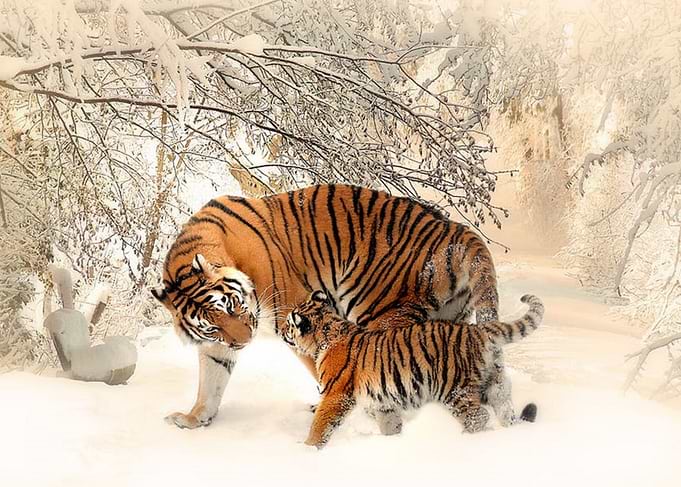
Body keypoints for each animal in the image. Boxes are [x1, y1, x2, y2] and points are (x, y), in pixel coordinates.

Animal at [151, 184, 500, 431]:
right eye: (212, 326)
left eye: (234, 306)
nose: (244, 342)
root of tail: (457, 230)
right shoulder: (217, 344)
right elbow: (211, 380)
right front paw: (195, 418)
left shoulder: (293, 314)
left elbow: (321, 368)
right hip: (446, 319)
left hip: (379, 311)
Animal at [282, 291, 544, 449]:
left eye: (288, 324)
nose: (282, 331)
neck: (327, 332)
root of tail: (478, 330)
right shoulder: (383, 402)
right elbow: (389, 423)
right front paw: (394, 441)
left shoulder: (336, 395)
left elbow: (321, 424)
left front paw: (307, 449)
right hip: (495, 384)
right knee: (504, 409)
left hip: (454, 389)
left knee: (478, 417)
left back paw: (463, 440)